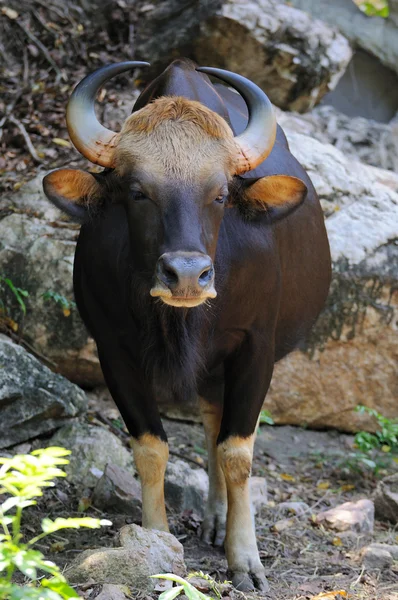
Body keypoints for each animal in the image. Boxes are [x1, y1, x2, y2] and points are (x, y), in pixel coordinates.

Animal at [43, 58, 332, 592]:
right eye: (137, 192)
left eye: (219, 195)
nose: (186, 274)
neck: (179, 320)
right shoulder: (113, 349)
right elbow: (151, 446)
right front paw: (157, 542)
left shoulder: (256, 349)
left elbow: (237, 451)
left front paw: (246, 558)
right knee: (210, 419)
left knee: (219, 429)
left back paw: (221, 520)